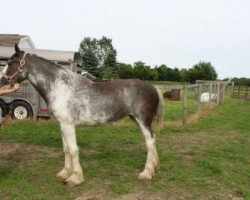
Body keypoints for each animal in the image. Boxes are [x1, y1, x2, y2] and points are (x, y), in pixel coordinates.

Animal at [0, 44, 164, 188]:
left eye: (10, 62)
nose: (1, 81)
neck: (59, 87)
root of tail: (153, 87)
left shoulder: (68, 125)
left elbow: (73, 150)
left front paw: (75, 178)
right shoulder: (62, 125)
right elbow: (66, 149)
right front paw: (64, 173)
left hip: (142, 121)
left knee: (150, 142)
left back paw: (146, 173)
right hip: (136, 120)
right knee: (152, 140)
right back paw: (155, 168)